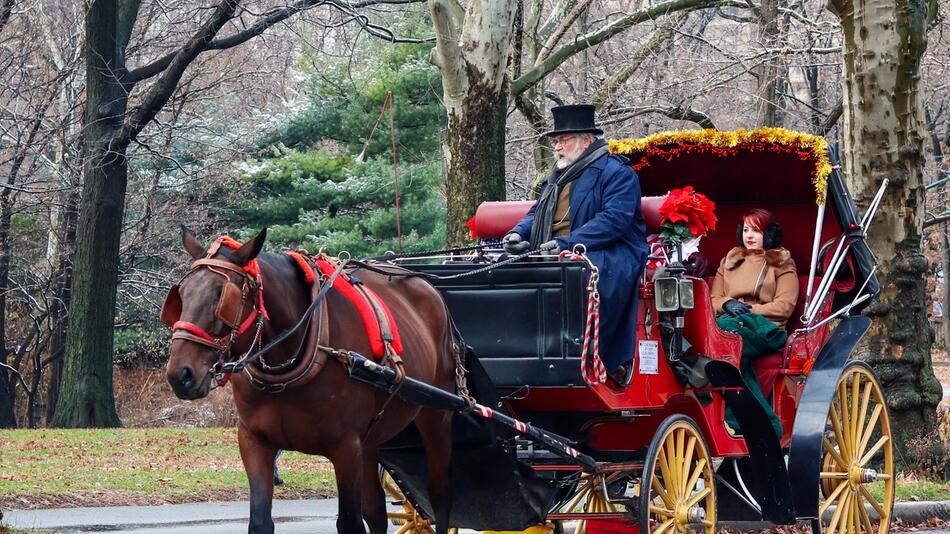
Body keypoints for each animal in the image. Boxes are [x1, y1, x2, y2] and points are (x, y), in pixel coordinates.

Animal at [164, 230, 458, 534]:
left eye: (221, 295)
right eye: (181, 295)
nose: (180, 374)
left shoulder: (345, 447)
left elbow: (350, 522)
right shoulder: (254, 441)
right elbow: (260, 521)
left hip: (437, 417)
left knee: (439, 496)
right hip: (369, 440)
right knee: (376, 511)